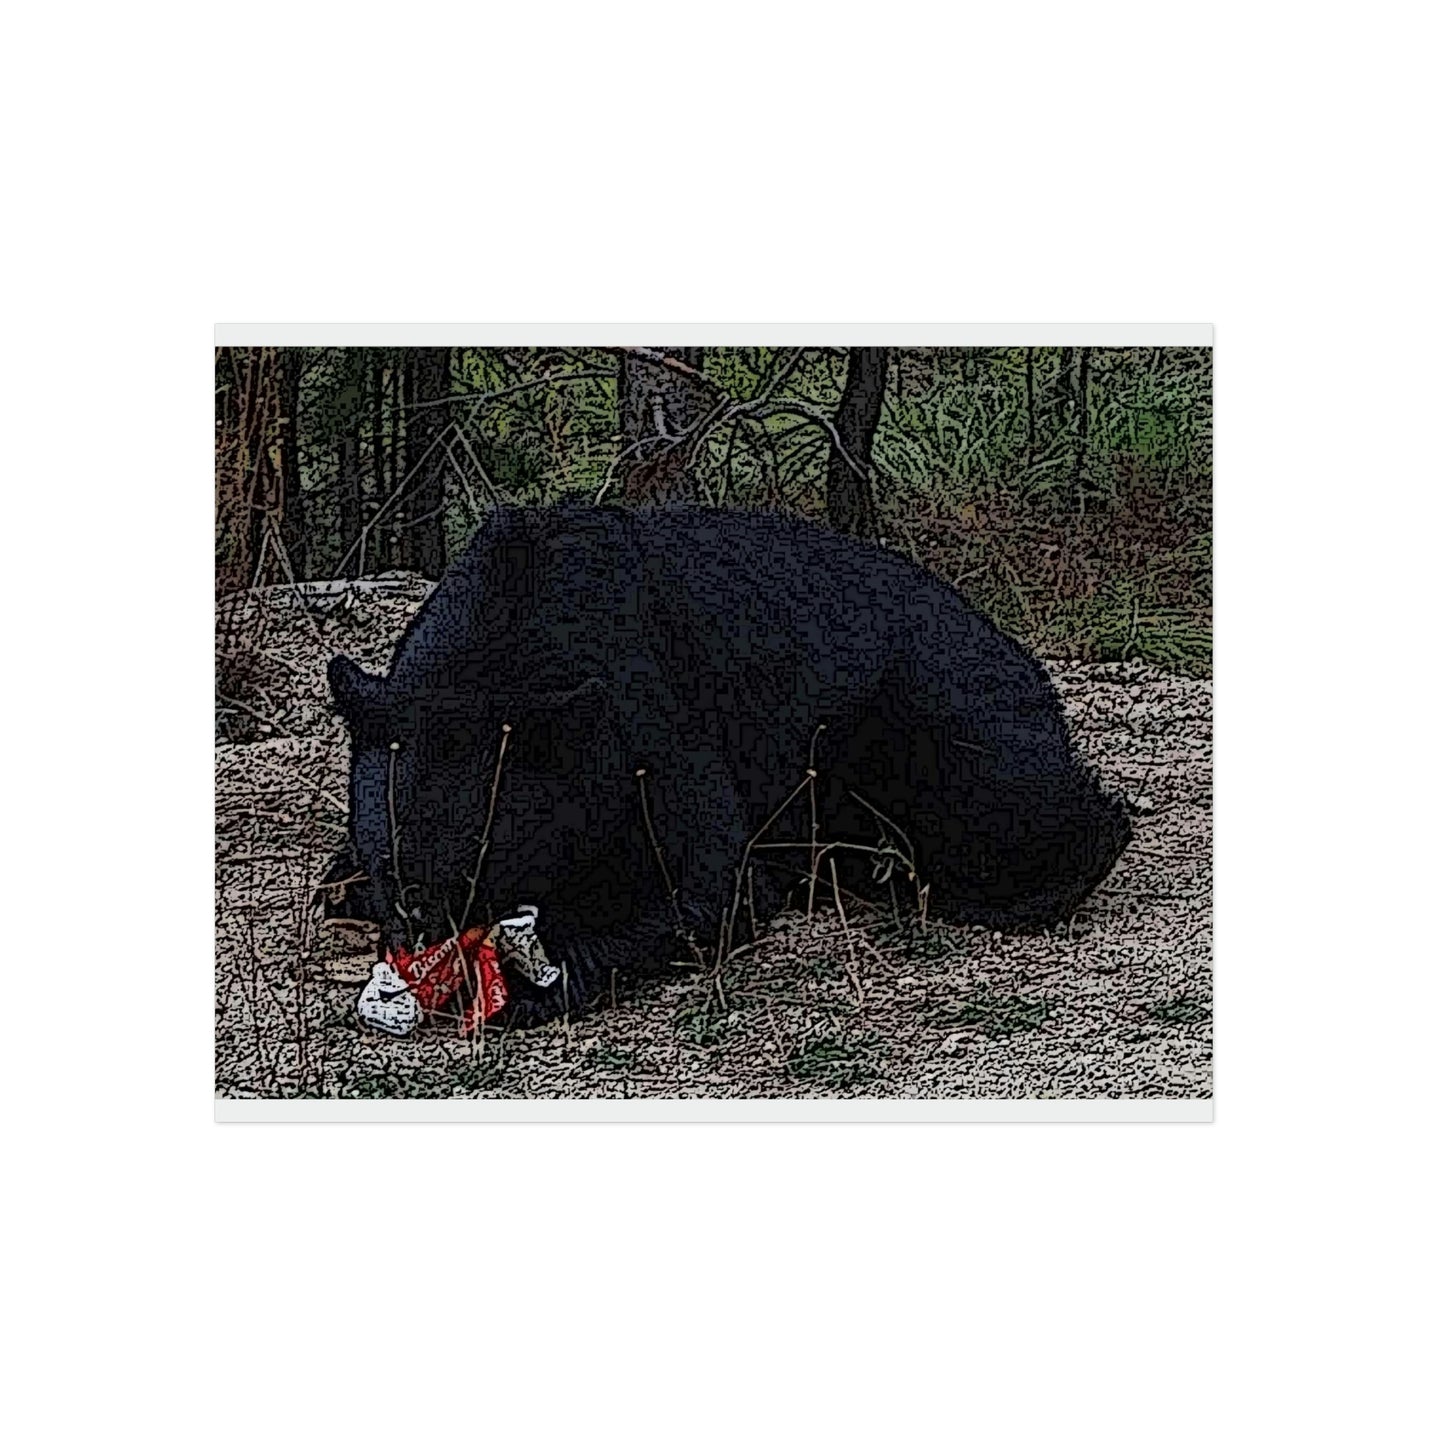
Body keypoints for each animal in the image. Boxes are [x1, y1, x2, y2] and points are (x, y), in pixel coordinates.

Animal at [327, 503, 1130, 1027]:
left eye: (481, 870)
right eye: (397, 872)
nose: (425, 947)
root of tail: (1028, 662)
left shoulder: (645, 711)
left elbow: (709, 880)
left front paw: (539, 980)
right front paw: (346, 886)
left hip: (930, 720)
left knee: (1016, 811)